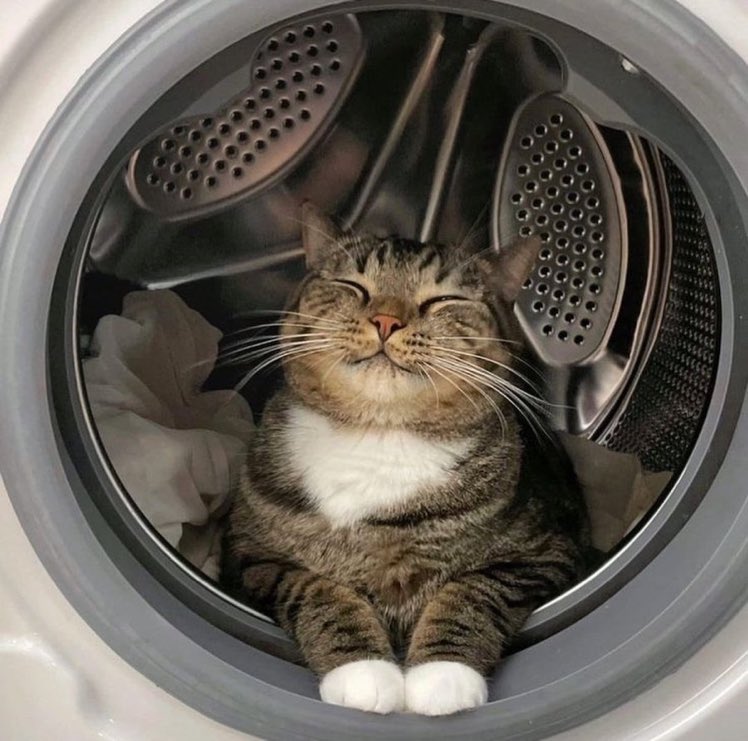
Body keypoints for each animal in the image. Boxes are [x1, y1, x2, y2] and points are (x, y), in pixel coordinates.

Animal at [222, 202, 592, 716]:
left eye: (442, 300)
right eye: (353, 286)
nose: (385, 321)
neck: (377, 434)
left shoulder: (543, 551)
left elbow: (473, 592)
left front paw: (443, 676)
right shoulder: (252, 553)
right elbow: (316, 590)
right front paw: (362, 674)